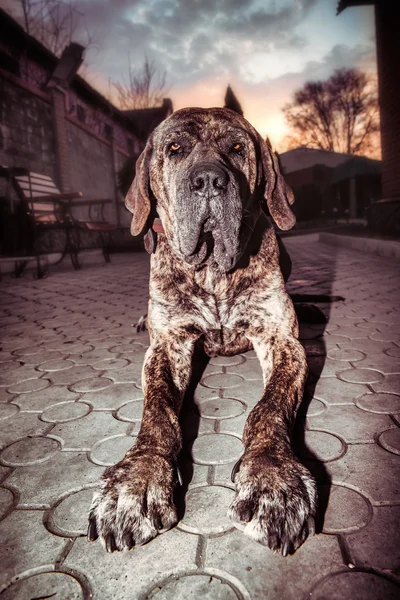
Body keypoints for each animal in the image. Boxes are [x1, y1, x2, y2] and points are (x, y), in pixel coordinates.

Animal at [86, 105, 316, 556]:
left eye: (237, 148)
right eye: (175, 148)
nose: (209, 180)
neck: (212, 270)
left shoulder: (282, 341)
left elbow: (269, 407)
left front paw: (272, 478)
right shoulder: (169, 345)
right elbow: (157, 412)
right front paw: (136, 481)